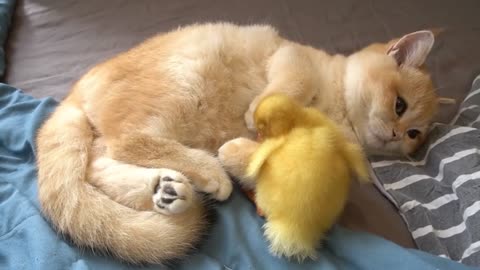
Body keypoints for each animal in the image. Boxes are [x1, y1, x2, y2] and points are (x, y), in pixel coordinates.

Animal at [36, 23, 450, 264]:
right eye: (400, 106)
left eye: (415, 134)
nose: (399, 136)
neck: (338, 115)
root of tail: (76, 91)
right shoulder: (293, 56)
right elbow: (292, 84)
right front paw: (256, 115)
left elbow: (274, 163)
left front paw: (242, 151)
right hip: (181, 84)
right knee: (123, 145)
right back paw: (206, 173)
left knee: (99, 165)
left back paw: (168, 191)